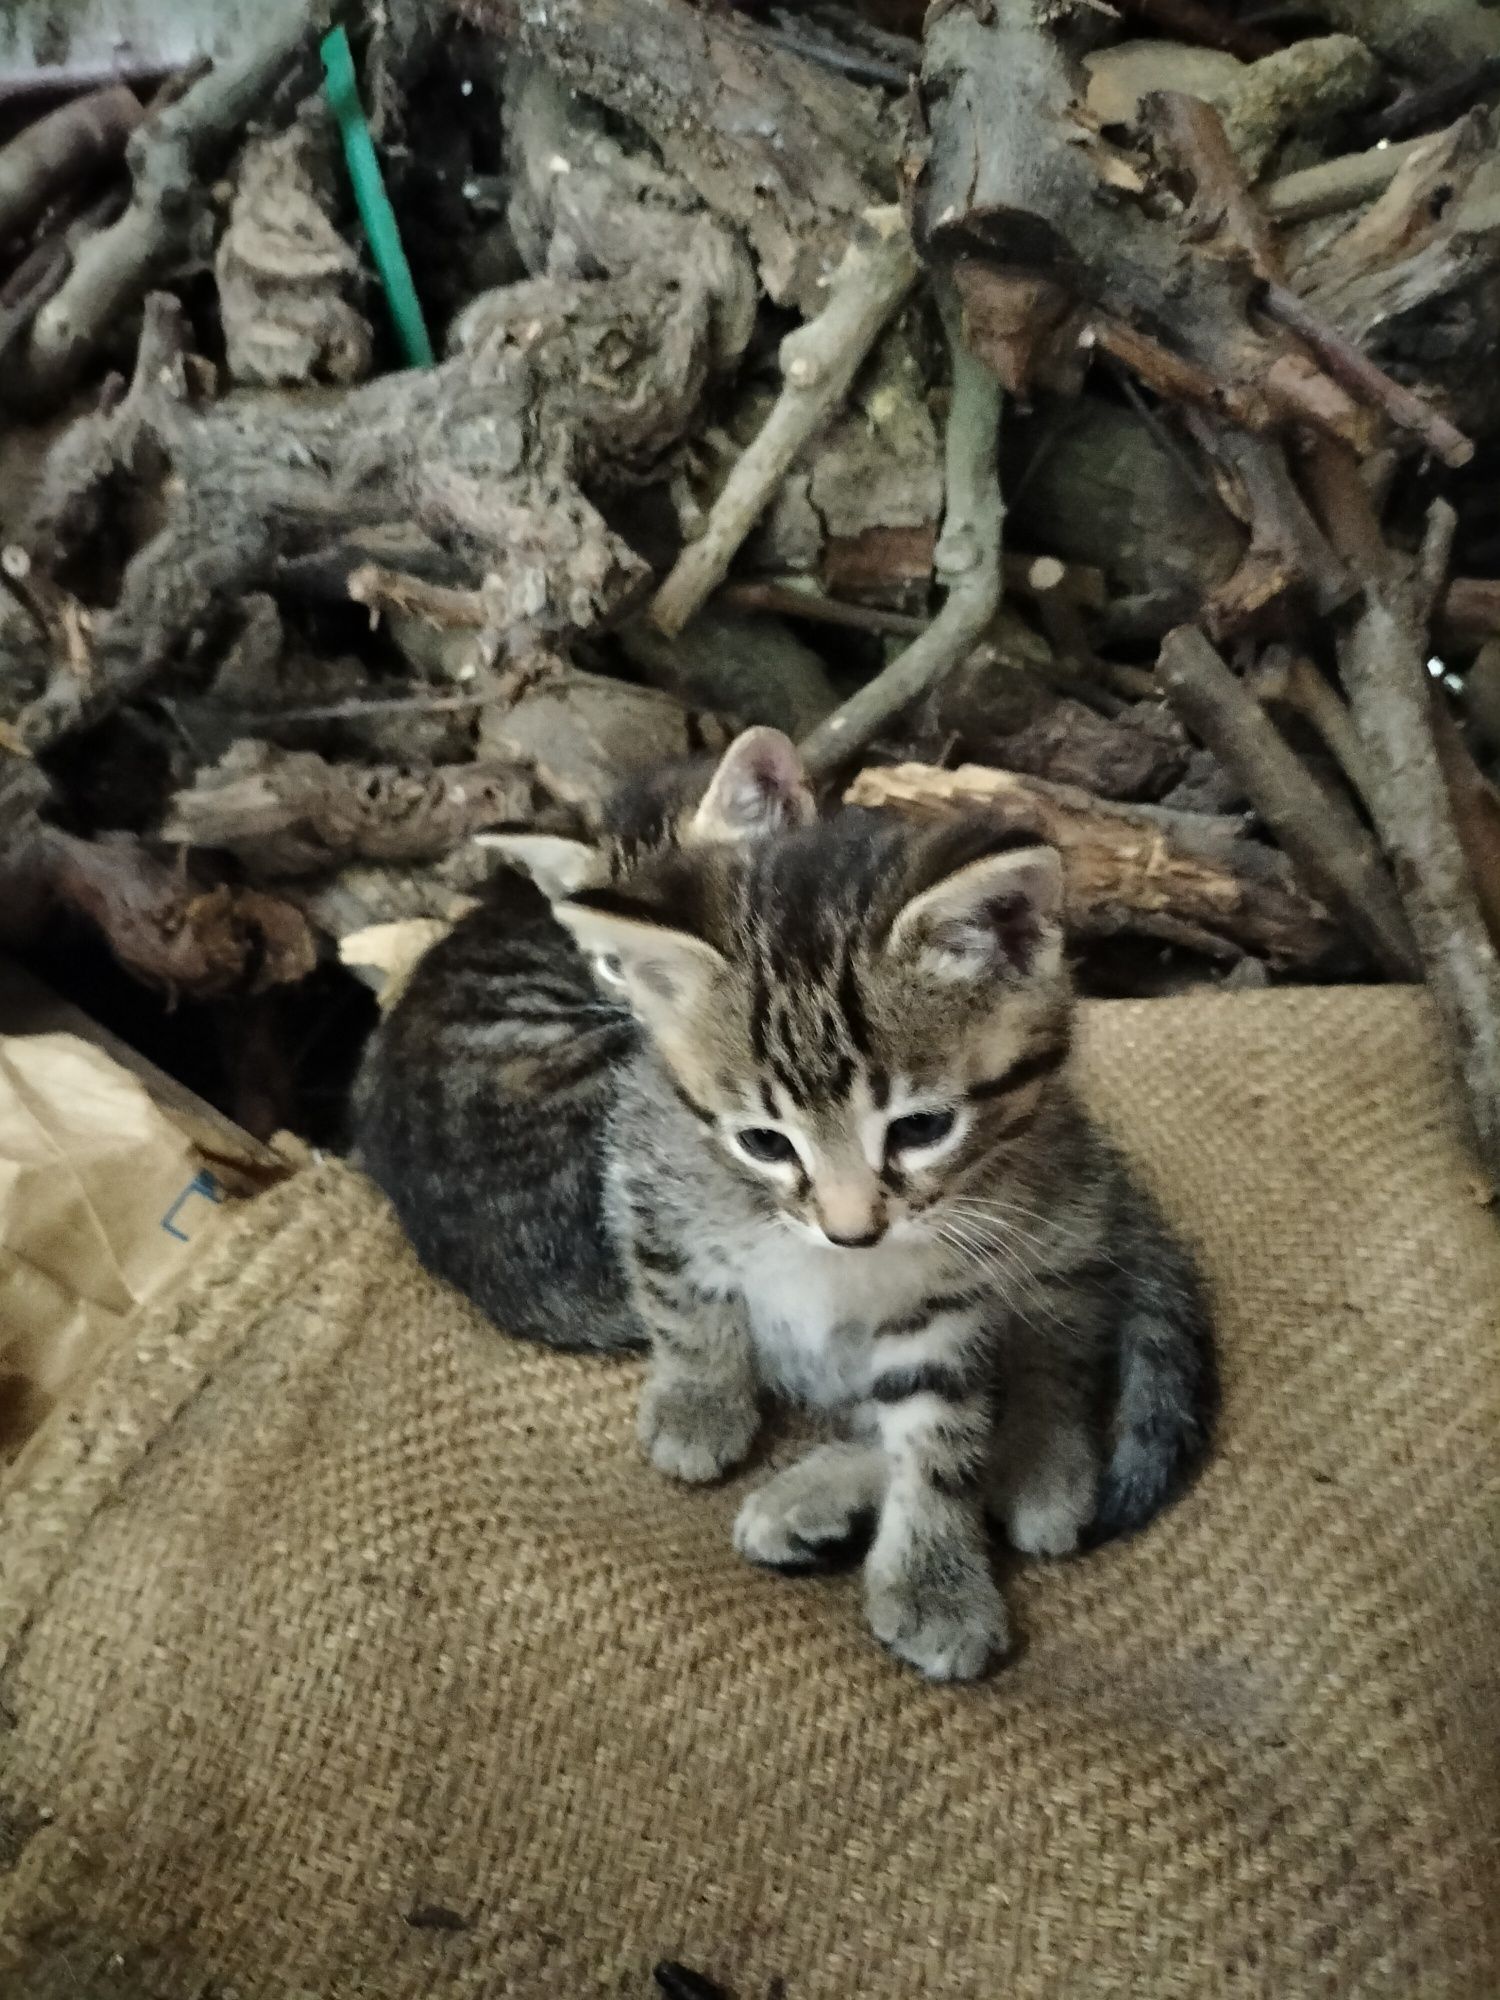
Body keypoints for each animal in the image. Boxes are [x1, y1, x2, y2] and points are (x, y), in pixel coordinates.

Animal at [362, 728, 1224, 1680]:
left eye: (922, 1129)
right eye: (766, 1143)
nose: (851, 1232)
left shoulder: (946, 1279)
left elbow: (940, 1430)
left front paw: (935, 1582)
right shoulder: (649, 1171)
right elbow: (685, 1302)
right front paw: (699, 1405)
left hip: (1052, 1220)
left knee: (1062, 1335)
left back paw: (1040, 1465)